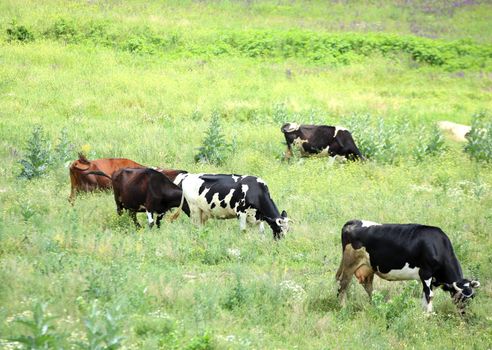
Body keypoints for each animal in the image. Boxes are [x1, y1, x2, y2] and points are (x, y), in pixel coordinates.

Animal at [334, 220, 480, 314]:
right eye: (460, 298)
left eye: (472, 298)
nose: (465, 314)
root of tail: (352, 222)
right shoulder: (426, 273)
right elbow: (429, 296)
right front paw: (429, 316)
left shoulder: (431, 280)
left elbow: (425, 296)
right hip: (349, 264)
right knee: (343, 285)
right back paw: (342, 308)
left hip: (368, 267)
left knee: (367, 286)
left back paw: (374, 305)